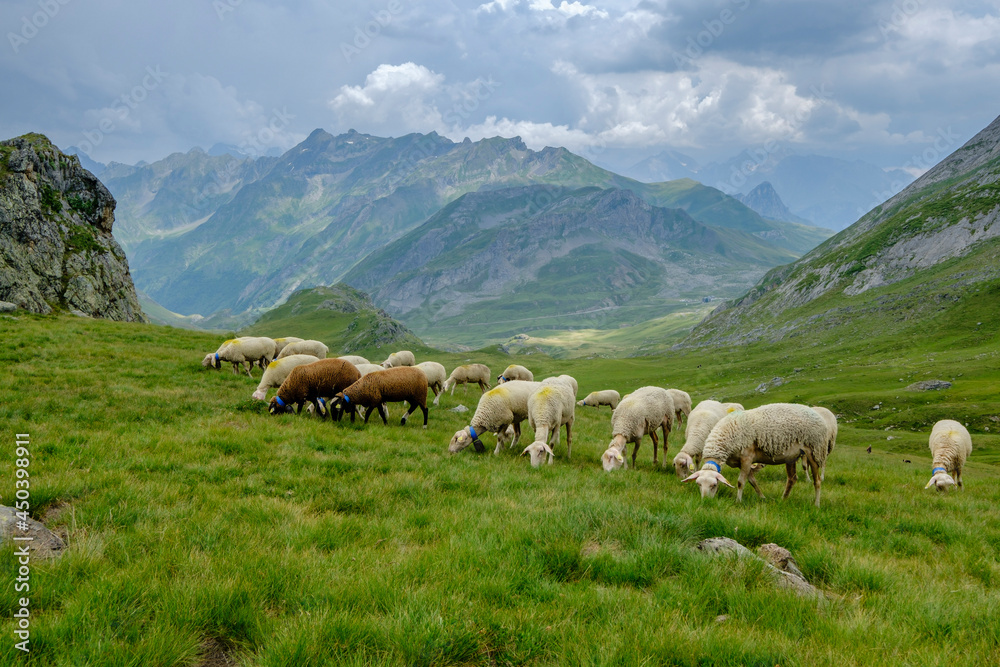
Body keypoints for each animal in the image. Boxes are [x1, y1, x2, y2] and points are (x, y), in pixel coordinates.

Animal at [684, 404, 832, 508]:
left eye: (714, 485)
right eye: (698, 484)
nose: (705, 502)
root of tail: (817, 414)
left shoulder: (747, 458)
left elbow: (740, 482)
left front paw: (738, 501)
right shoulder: (742, 462)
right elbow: (752, 481)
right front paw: (762, 497)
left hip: (815, 450)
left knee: (817, 481)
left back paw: (816, 504)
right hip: (791, 456)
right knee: (792, 479)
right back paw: (783, 500)